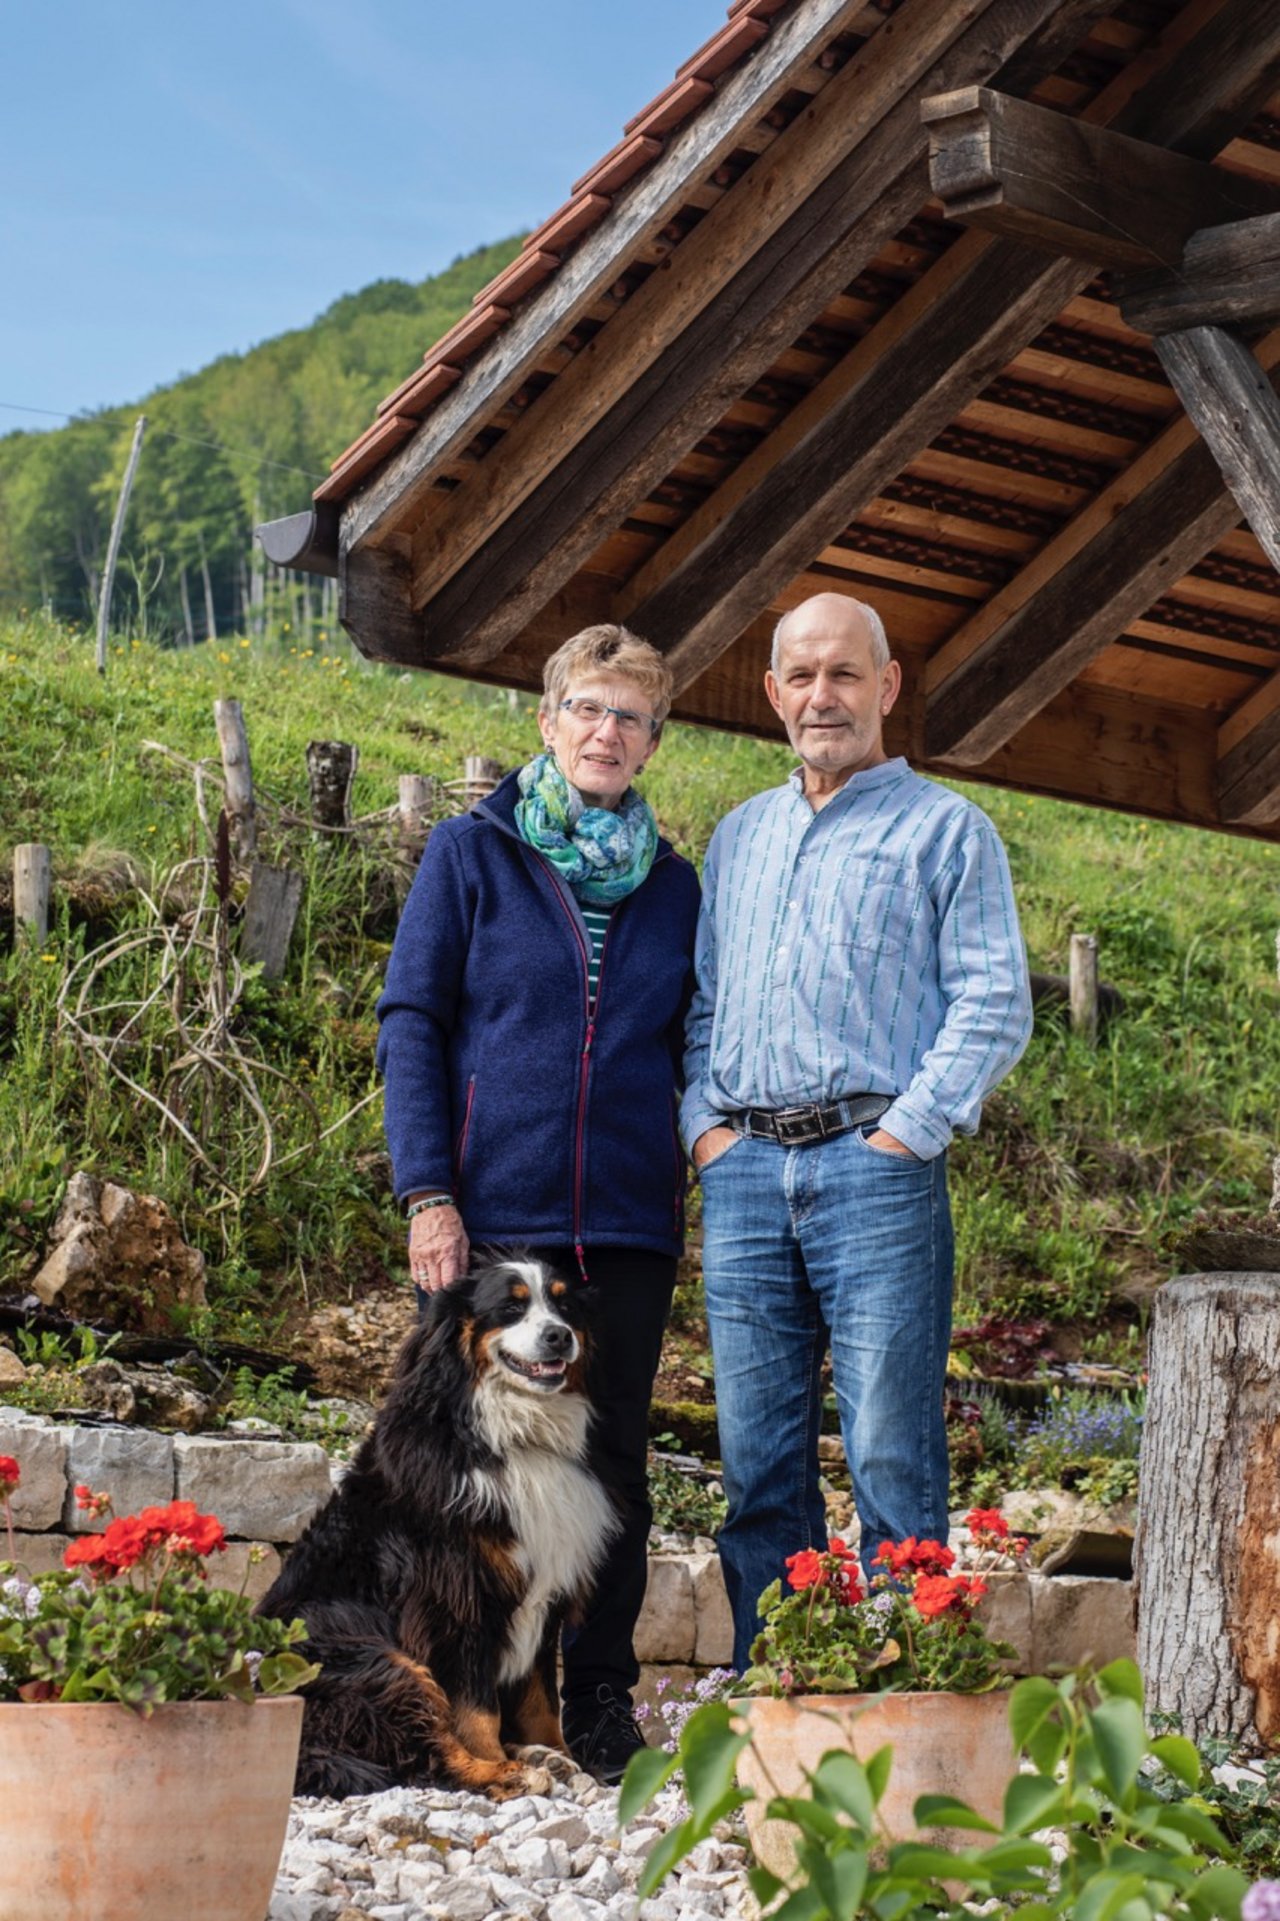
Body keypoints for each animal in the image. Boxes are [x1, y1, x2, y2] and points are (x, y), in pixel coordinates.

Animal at [253, 1260, 615, 1798]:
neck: (511, 1437)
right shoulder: (456, 1595)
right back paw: (506, 1772)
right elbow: (475, 1707)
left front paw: (566, 1756)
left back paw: (540, 1758)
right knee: (425, 1755)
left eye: (564, 1304)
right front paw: (499, 1759)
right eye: (511, 1307)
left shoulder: (544, 1591)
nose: (559, 1335)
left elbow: (541, 1697)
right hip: (368, 1659)